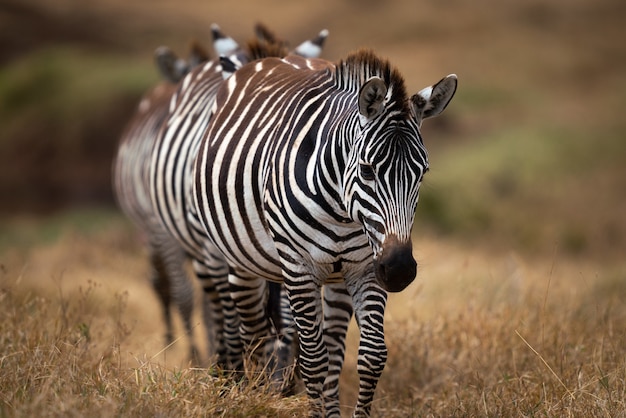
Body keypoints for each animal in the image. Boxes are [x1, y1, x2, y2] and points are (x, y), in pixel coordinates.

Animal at [190, 48, 454, 414]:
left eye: (423, 172)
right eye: (367, 170)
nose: (400, 269)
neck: (342, 212)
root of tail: (273, 56)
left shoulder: (367, 268)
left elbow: (371, 357)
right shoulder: (300, 268)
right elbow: (312, 361)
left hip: (336, 279)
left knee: (329, 347)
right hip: (241, 261)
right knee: (255, 334)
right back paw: (253, 393)